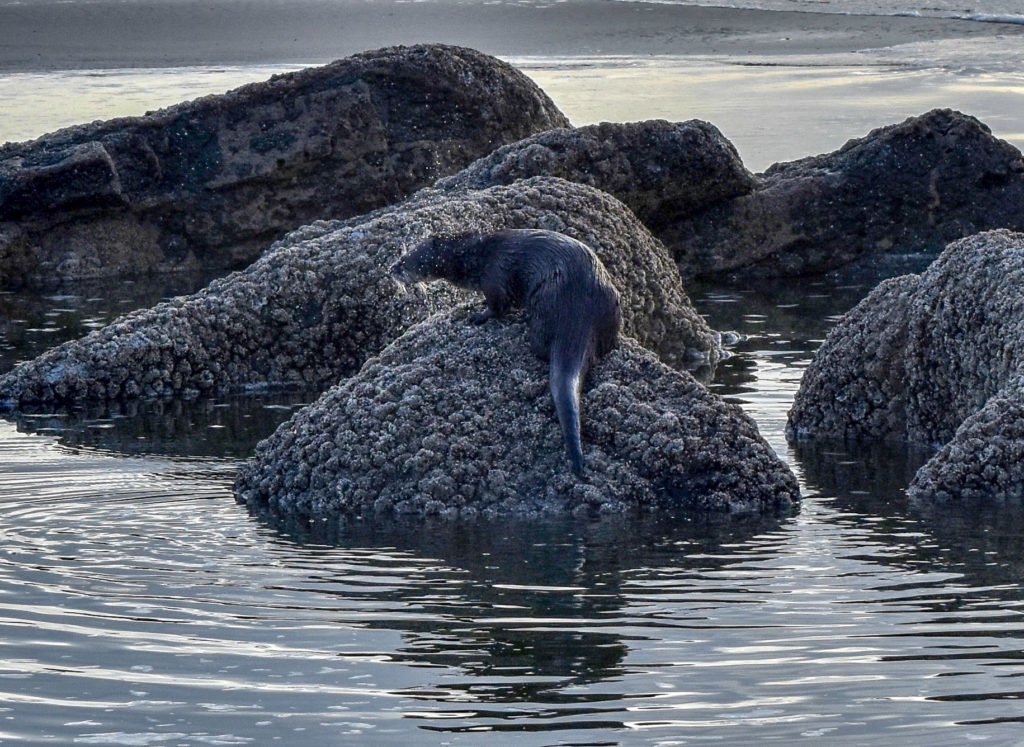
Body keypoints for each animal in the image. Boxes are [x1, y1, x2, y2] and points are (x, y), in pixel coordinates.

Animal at [387, 227, 618, 475]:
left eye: (405, 261)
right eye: (401, 256)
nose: (391, 269)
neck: (476, 258)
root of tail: (578, 311)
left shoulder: (493, 278)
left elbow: (498, 306)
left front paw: (478, 316)